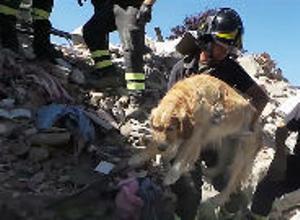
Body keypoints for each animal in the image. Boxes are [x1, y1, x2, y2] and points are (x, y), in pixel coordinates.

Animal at [129, 73, 262, 205]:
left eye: (170, 128)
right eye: (156, 127)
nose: (161, 148)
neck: (188, 98)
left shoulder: (194, 137)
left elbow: (182, 158)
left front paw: (172, 175)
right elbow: (154, 146)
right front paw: (138, 158)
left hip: (241, 156)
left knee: (233, 180)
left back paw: (220, 198)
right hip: (225, 144)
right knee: (222, 164)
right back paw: (208, 172)